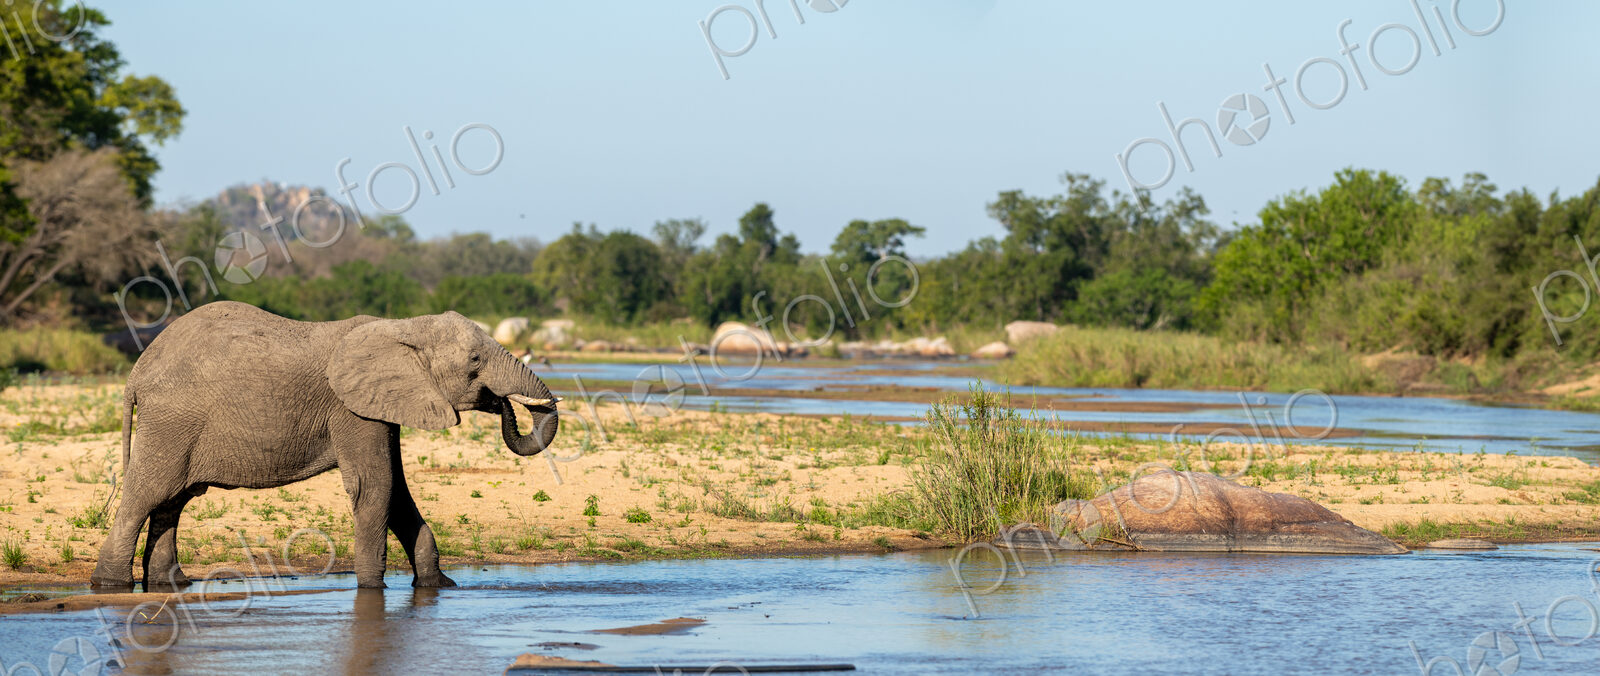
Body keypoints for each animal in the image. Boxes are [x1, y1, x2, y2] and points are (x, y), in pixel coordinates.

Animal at [90, 301, 560, 589]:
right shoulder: (351, 408)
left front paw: (438, 587)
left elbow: (398, 491)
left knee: (172, 500)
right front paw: (372, 589)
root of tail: (137, 371)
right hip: (172, 421)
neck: (403, 326)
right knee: (146, 494)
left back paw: (172, 585)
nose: (502, 402)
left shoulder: (381, 406)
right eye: (475, 362)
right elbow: (375, 487)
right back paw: (111, 585)